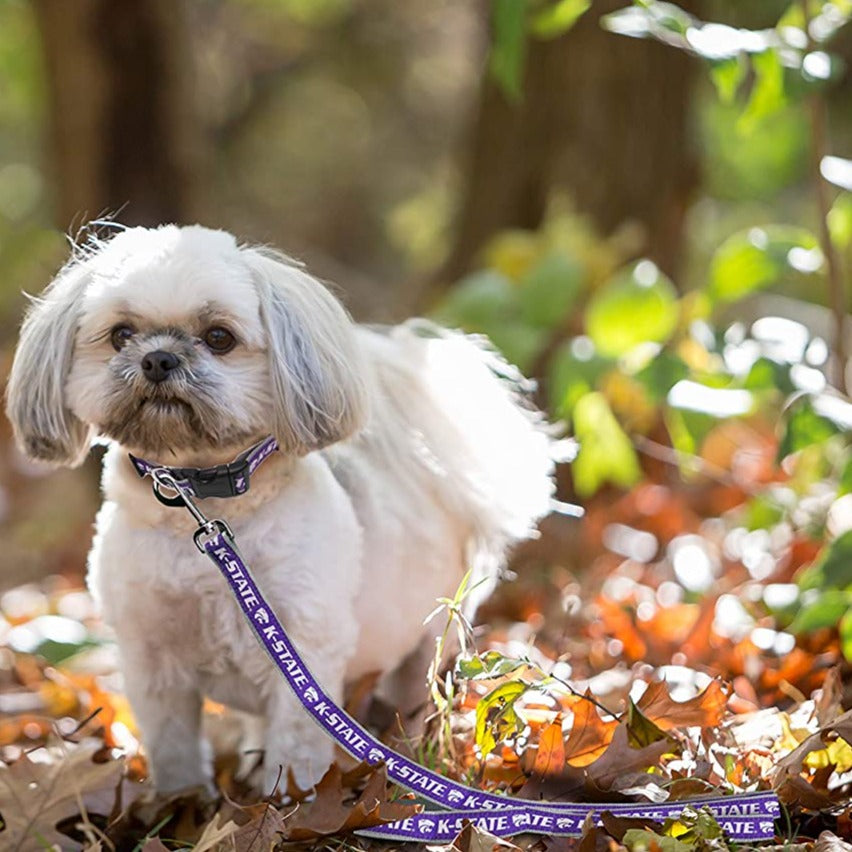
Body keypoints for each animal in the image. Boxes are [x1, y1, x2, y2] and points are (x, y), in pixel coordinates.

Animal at [6, 228, 556, 800]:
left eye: (219, 337)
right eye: (120, 334)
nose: (158, 359)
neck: (200, 504)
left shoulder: (302, 652)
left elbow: (295, 746)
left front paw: (290, 803)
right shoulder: (150, 659)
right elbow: (174, 748)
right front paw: (181, 804)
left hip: (427, 637)